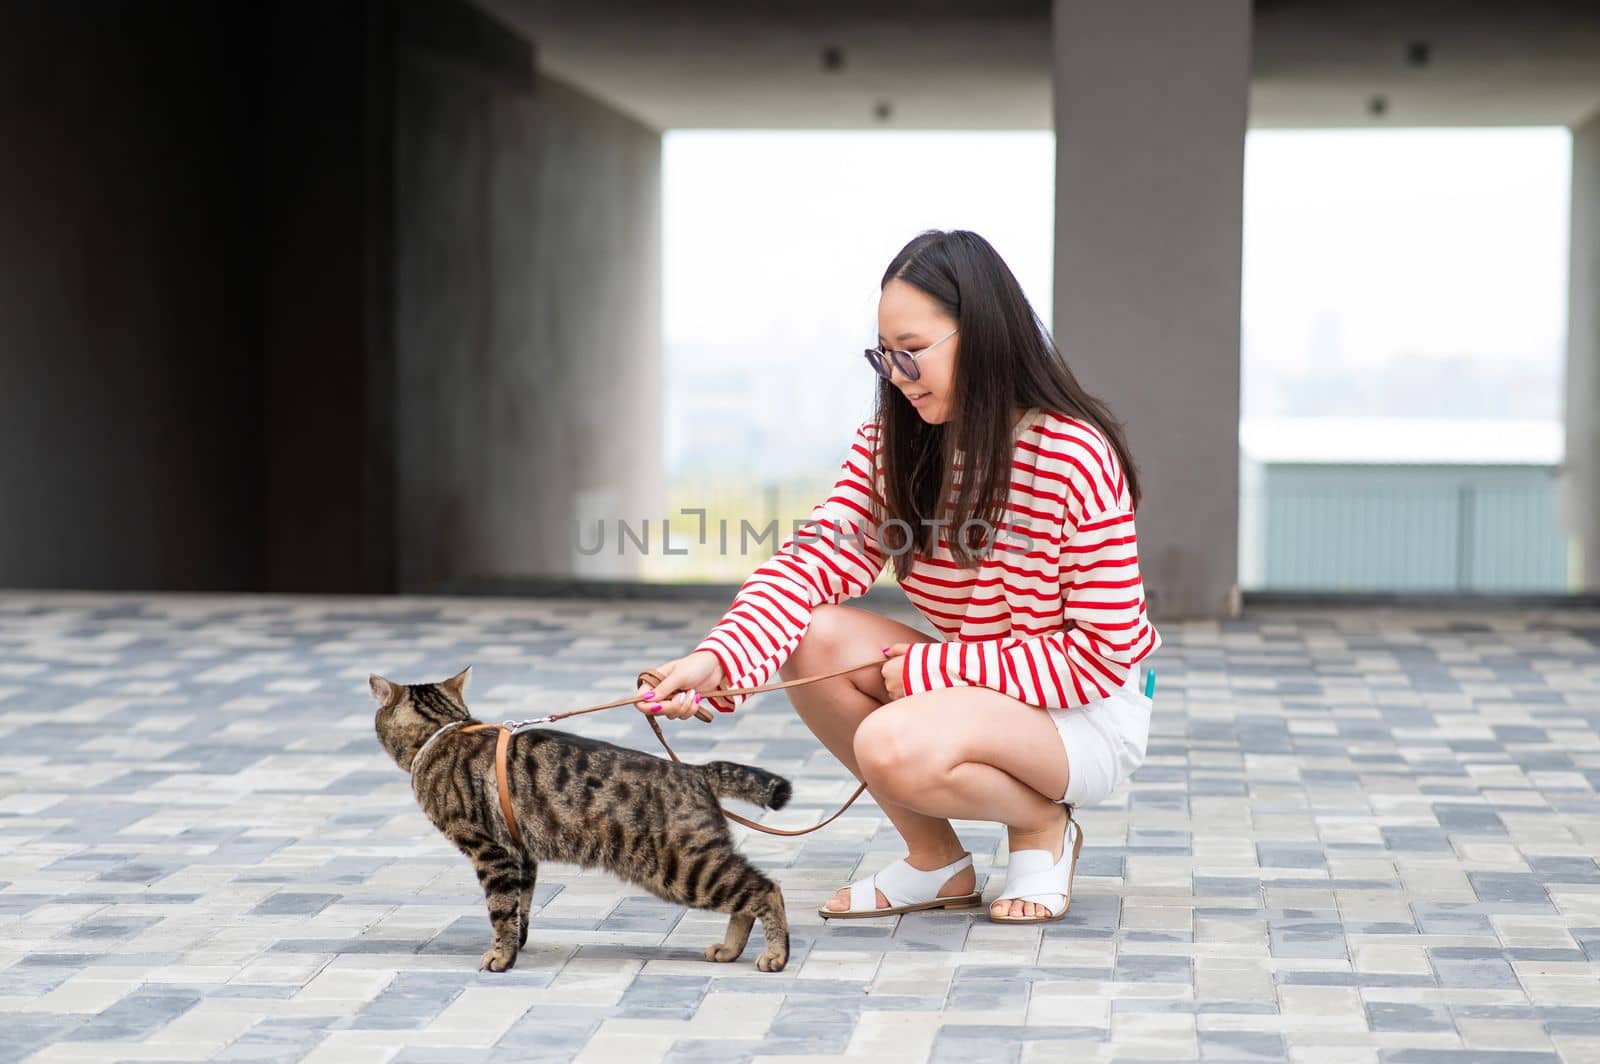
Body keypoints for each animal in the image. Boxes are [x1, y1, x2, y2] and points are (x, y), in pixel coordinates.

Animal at [369, 665, 793, 972]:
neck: (442, 732)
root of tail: (694, 771)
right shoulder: (522, 854)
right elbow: (521, 905)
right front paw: (518, 943)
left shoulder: (492, 852)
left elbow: (501, 909)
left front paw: (502, 956)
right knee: (748, 896)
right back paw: (729, 950)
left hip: (685, 869)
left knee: (766, 889)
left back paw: (776, 955)